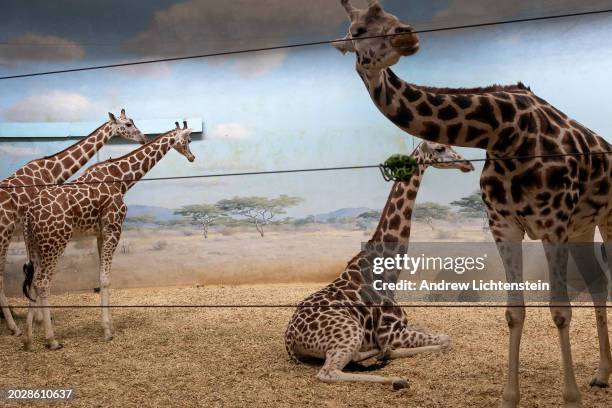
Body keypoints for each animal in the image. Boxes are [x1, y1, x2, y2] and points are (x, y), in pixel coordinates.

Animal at [0, 110, 146, 336]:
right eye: (129, 124)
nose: (143, 138)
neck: (52, 170)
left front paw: (40, 320)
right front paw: (41, 321)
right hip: (4, 234)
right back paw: (14, 328)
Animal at [22, 121, 194, 350]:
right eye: (188, 140)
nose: (192, 157)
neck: (122, 180)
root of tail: (29, 214)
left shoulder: (100, 234)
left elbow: (102, 276)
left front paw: (109, 325)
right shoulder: (114, 228)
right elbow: (105, 278)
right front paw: (107, 331)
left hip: (34, 245)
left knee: (32, 281)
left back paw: (28, 339)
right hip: (56, 242)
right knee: (42, 283)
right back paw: (51, 339)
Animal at [284, 141, 476, 388]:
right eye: (440, 148)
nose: (467, 164)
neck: (386, 271)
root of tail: (290, 338)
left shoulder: (403, 327)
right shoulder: (392, 332)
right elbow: (446, 339)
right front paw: (392, 356)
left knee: (354, 356)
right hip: (349, 331)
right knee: (329, 372)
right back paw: (397, 378)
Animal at [334, 1, 612, 406]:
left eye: (390, 17)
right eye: (356, 30)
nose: (407, 36)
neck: (505, 132)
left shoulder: (553, 223)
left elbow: (560, 310)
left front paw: (571, 397)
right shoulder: (505, 225)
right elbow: (514, 312)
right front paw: (509, 397)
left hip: (605, 218)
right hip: (584, 225)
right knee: (597, 284)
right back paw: (603, 375)